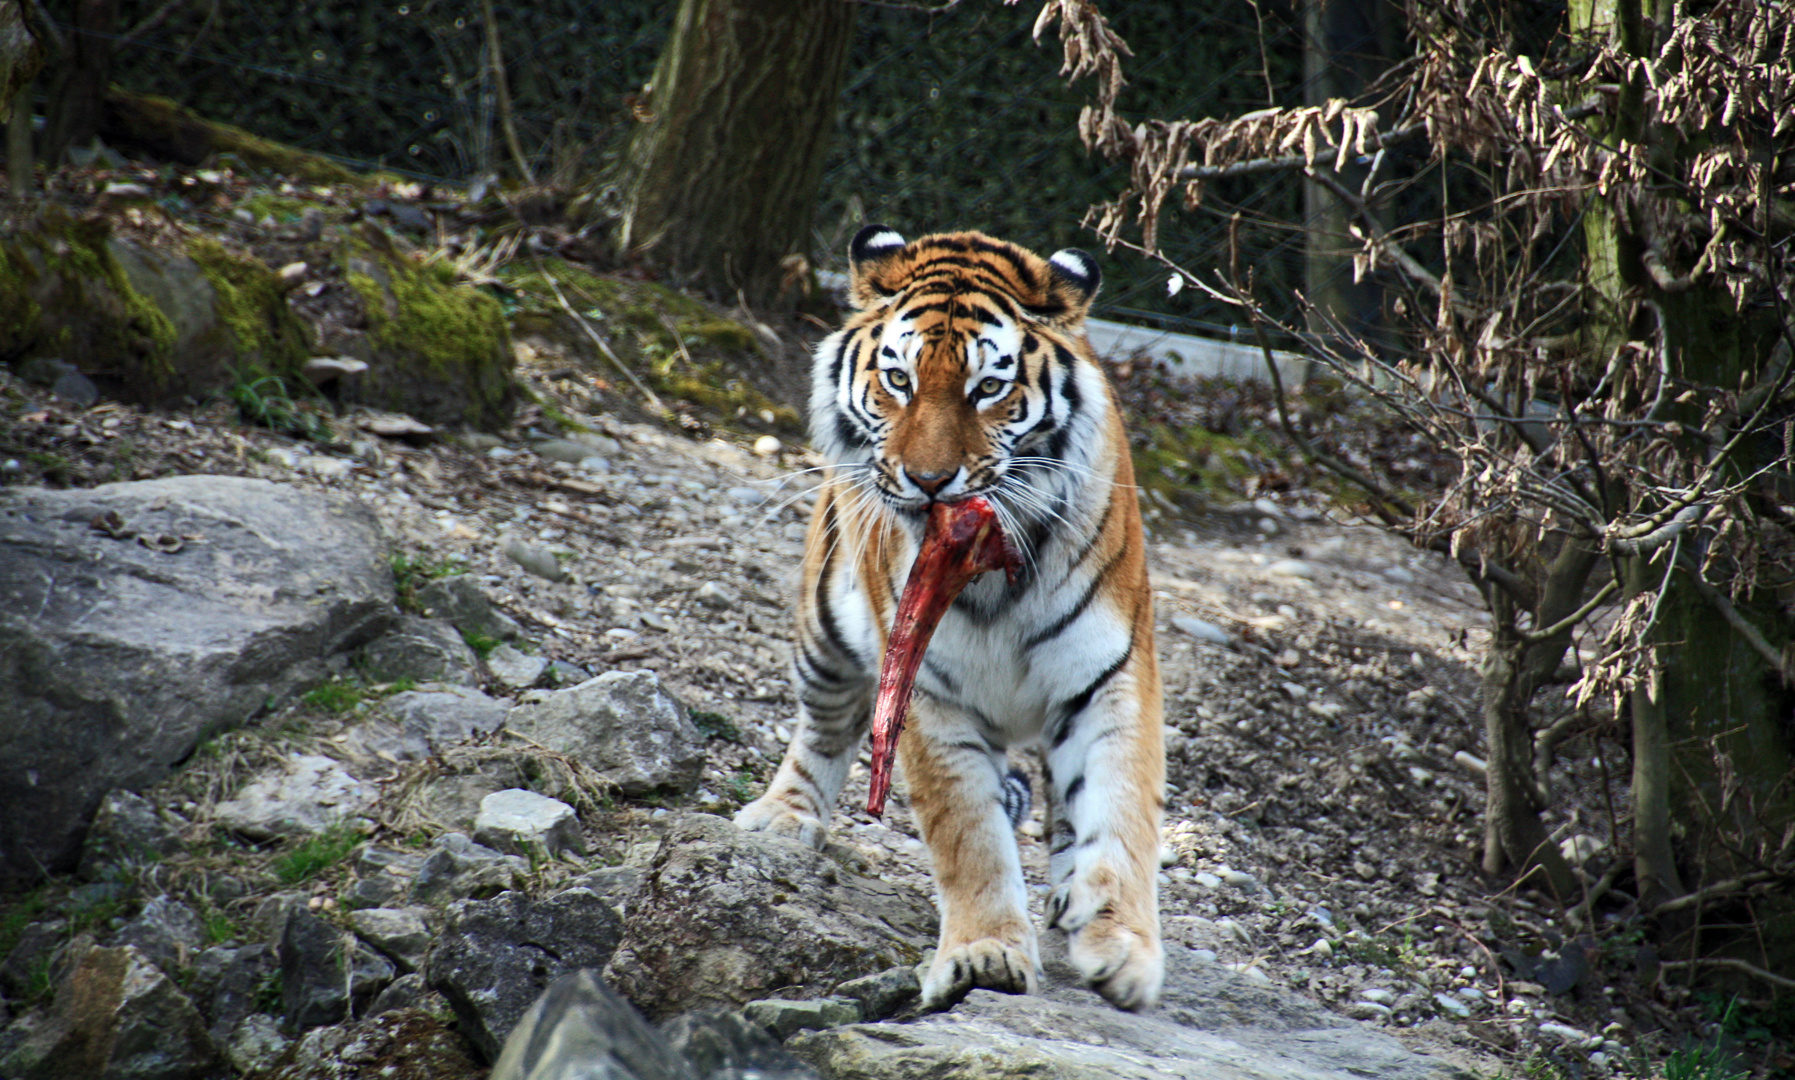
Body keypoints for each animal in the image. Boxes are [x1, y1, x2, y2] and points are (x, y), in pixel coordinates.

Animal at [735, 222, 1170, 1004]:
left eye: (988, 387)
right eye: (899, 381)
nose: (930, 481)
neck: (997, 568)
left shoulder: (1109, 675)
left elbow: (1118, 809)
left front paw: (1122, 948)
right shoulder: (928, 692)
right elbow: (967, 830)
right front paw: (984, 954)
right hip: (822, 637)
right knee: (821, 729)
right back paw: (781, 819)